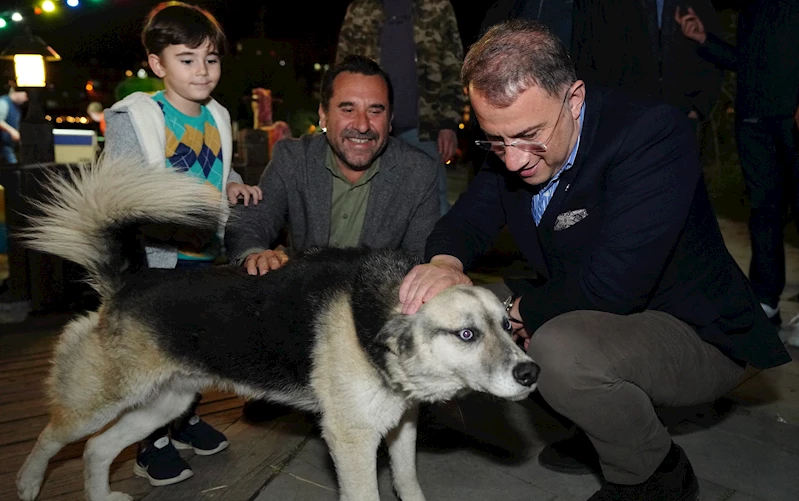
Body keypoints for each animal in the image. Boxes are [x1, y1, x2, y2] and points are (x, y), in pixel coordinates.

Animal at [15, 160, 540, 500]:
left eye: (505, 324)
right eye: (467, 334)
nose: (531, 373)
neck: (377, 318)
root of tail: (130, 281)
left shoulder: (400, 426)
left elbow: (408, 482)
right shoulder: (351, 441)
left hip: (164, 402)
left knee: (97, 450)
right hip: (98, 401)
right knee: (51, 438)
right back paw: (26, 483)